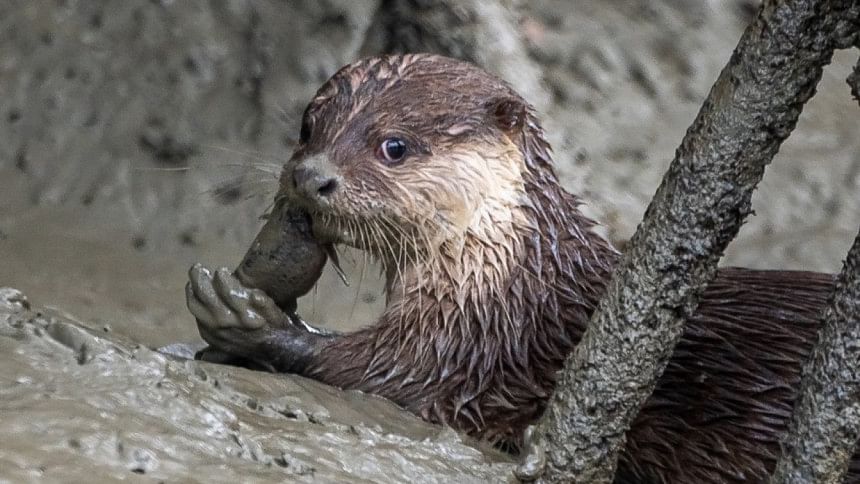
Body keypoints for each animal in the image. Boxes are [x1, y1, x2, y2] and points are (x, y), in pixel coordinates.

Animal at [185, 54, 856, 484]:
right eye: (307, 127)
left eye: (393, 146)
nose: (310, 176)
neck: (505, 283)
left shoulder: (478, 344)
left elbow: (386, 373)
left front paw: (251, 323)